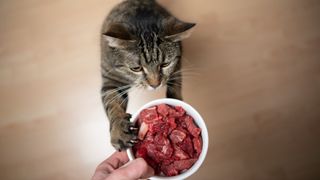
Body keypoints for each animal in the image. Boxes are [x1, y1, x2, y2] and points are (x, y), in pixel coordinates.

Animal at [100, 0, 195, 150]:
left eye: (165, 64)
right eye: (136, 68)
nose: (155, 85)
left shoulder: (176, 68)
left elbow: (175, 89)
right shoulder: (110, 80)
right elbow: (113, 104)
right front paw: (119, 131)